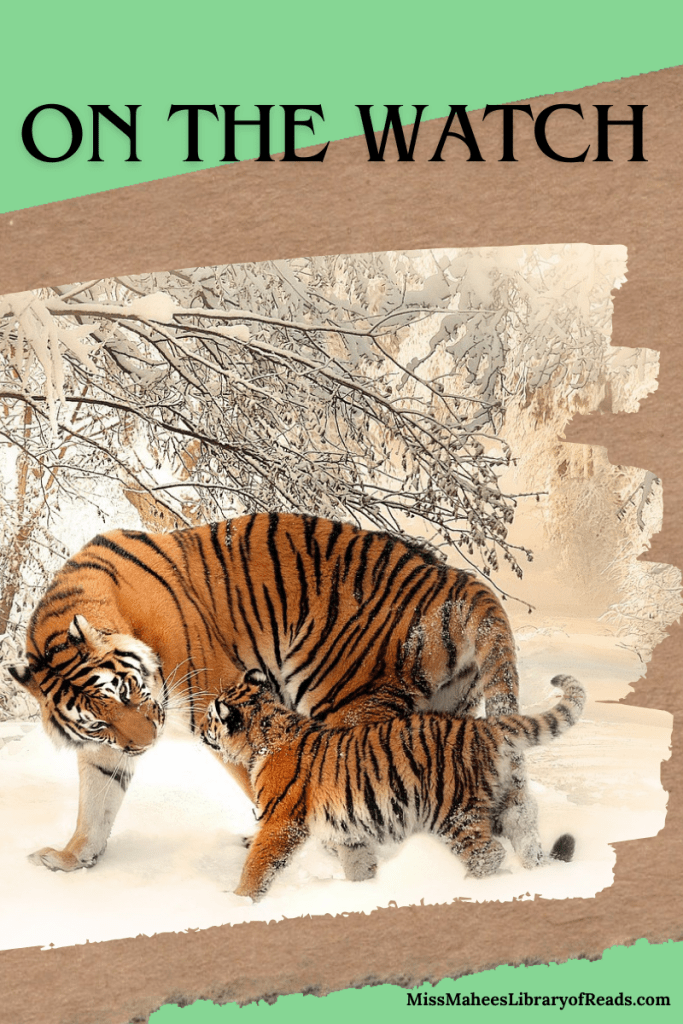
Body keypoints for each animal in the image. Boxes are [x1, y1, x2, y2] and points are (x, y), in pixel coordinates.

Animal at [9, 512, 551, 878]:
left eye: (125, 691)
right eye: (97, 720)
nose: (145, 745)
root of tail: (457, 579)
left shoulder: (219, 702)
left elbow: (266, 784)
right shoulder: (105, 748)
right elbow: (96, 802)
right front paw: (71, 858)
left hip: (346, 701)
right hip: (443, 711)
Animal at [200, 672, 585, 901]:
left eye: (210, 718)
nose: (201, 730)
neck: (266, 732)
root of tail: (484, 727)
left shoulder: (281, 823)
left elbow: (258, 865)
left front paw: (237, 901)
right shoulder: (348, 831)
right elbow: (358, 864)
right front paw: (365, 891)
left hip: (453, 812)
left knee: (488, 854)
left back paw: (468, 888)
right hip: (505, 803)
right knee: (526, 835)